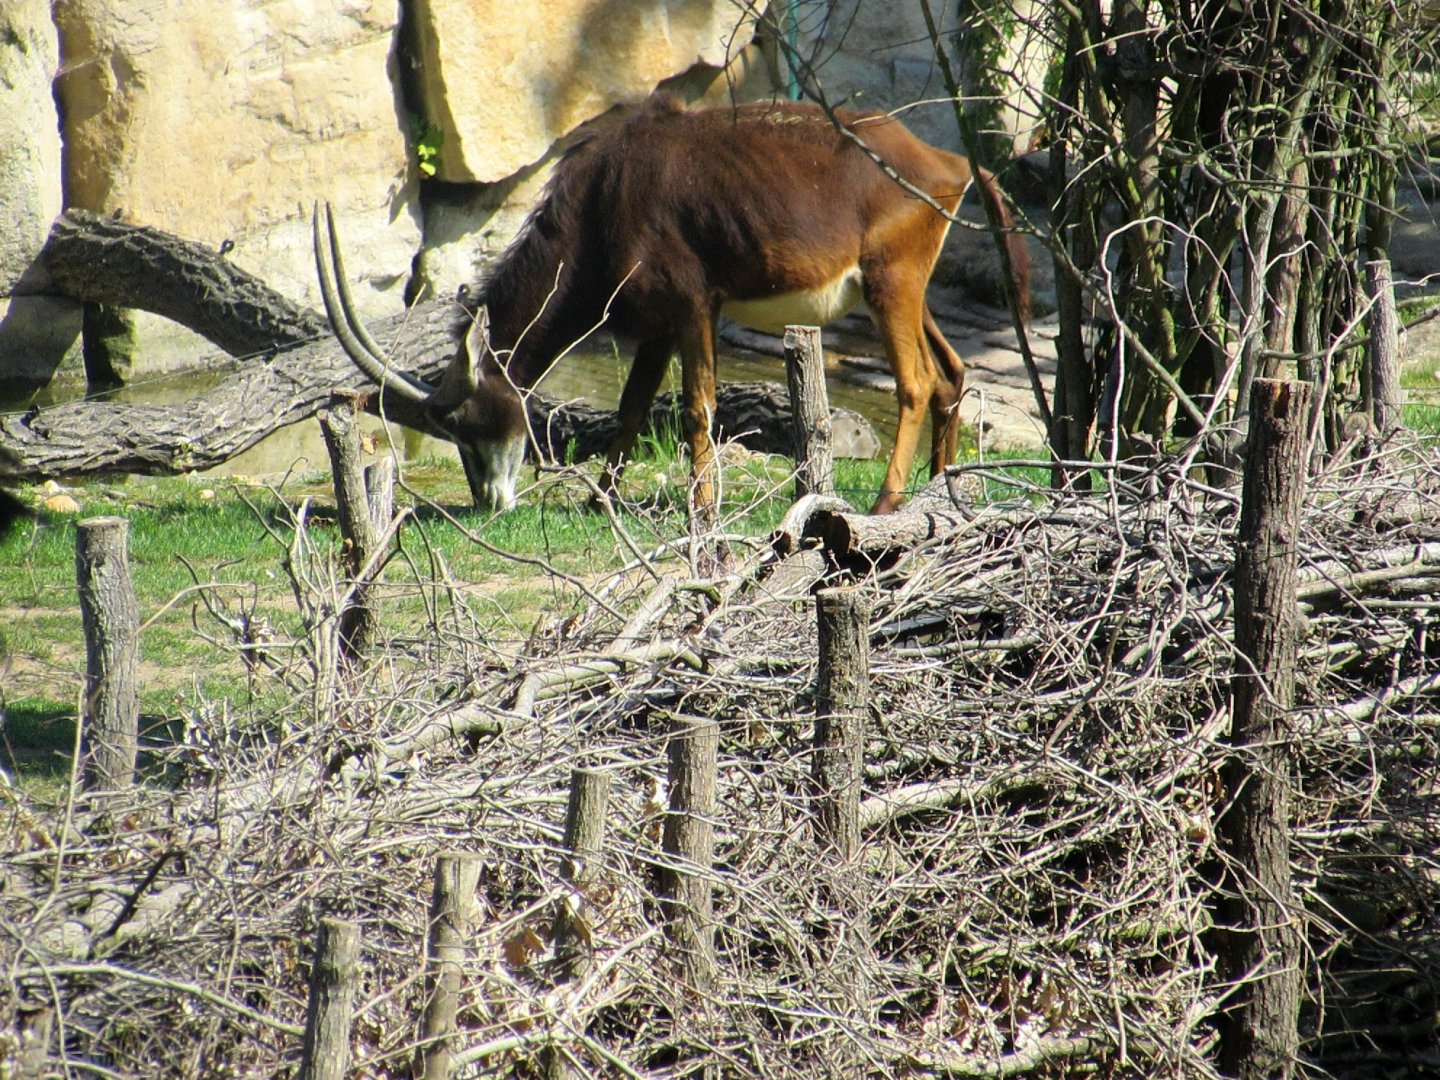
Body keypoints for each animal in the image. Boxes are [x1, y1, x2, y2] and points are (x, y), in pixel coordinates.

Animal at [315, 95, 1029, 516]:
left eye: (464, 423)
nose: (490, 503)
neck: (602, 201)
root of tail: (947, 163)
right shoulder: (658, 325)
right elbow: (632, 407)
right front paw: (602, 503)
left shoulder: (692, 307)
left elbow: (695, 409)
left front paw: (702, 509)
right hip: (908, 291)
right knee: (952, 374)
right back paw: (942, 487)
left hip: (890, 285)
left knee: (916, 382)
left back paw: (885, 503)